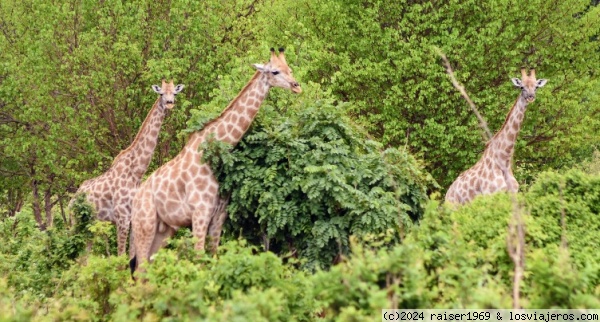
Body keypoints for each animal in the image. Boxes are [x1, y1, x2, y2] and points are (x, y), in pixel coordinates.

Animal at [70, 79, 184, 255]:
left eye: (175, 93)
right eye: (161, 93)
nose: (170, 104)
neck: (136, 171)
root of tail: (71, 201)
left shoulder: (134, 216)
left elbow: (131, 253)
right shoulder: (121, 217)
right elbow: (121, 254)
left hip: (89, 226)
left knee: (84, 256)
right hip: (75, 224)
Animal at [130, 47, 300, 274]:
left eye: (289, 68)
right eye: (275, 71)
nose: (297, 86)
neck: (212, 156)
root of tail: (135, 199)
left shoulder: (219, 215)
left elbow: (213, 258)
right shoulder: (200, 212)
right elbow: (199, 259)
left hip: (163, 230)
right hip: (144, 224)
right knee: (139, 270)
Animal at [446, 68, 548, 205]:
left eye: (536, 87)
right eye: (521, 87)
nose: (531, 97)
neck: (504, 160)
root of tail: (447, 194)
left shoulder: (512, 195)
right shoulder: (490, 195)